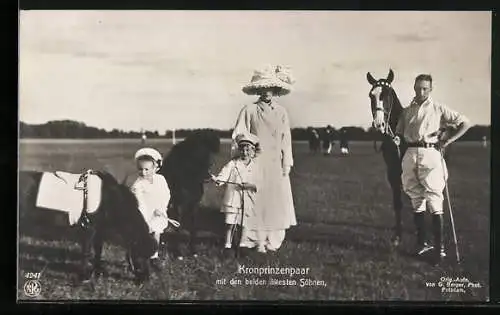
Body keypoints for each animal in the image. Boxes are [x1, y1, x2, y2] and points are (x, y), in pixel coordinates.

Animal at [19, 170, 156, 284]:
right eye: (140, 256)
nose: (146, 279)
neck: (107, 197)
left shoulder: (99, 230)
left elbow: (98, 251)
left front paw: (98, 272)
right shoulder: (88, 229)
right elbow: (86, 253)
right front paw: (83, 277)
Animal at [160, 130, 221, 260]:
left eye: (208, 153)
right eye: (197, 152)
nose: (207, 175)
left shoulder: (194, 204)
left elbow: (193, 227)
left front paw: (193, 251)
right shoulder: (179, 205)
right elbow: (178, 226)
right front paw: (177, 253)